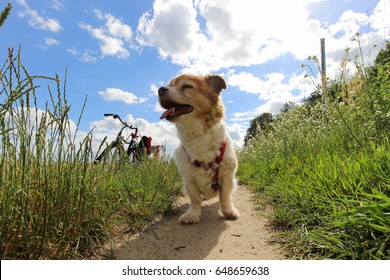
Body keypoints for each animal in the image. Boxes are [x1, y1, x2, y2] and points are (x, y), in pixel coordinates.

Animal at [158, 73, 238, 224]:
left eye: (186, 86)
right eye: (169, 85)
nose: (160, 89)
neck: (197, 134)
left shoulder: (227, 174)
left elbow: (224, 196)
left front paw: (228, 211)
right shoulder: (189, 179)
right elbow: (194, 199)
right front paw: (192, 214)